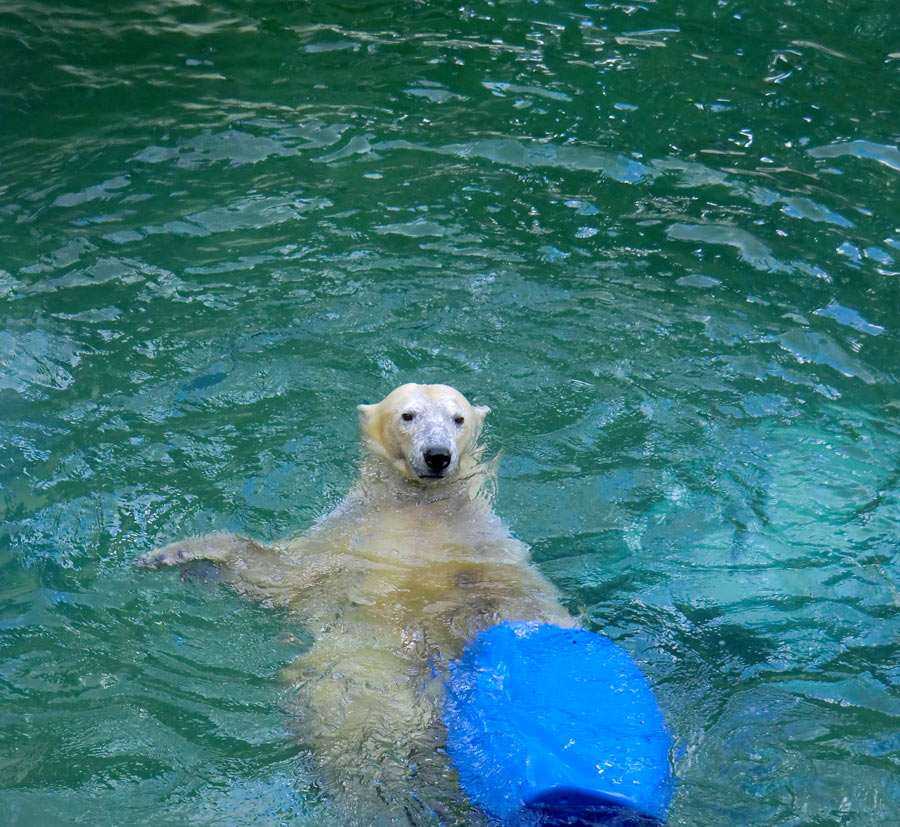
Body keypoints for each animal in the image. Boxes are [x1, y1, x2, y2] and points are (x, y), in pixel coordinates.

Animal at [137, 384, 572, 824]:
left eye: (458, 418)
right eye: (408, 415)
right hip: (357, 677)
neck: (419, 509)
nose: (437, 455)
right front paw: (172, 556)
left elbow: (517, 595)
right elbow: (282, 574)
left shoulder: (483, 542)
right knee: (360, 736)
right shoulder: (346, 536)